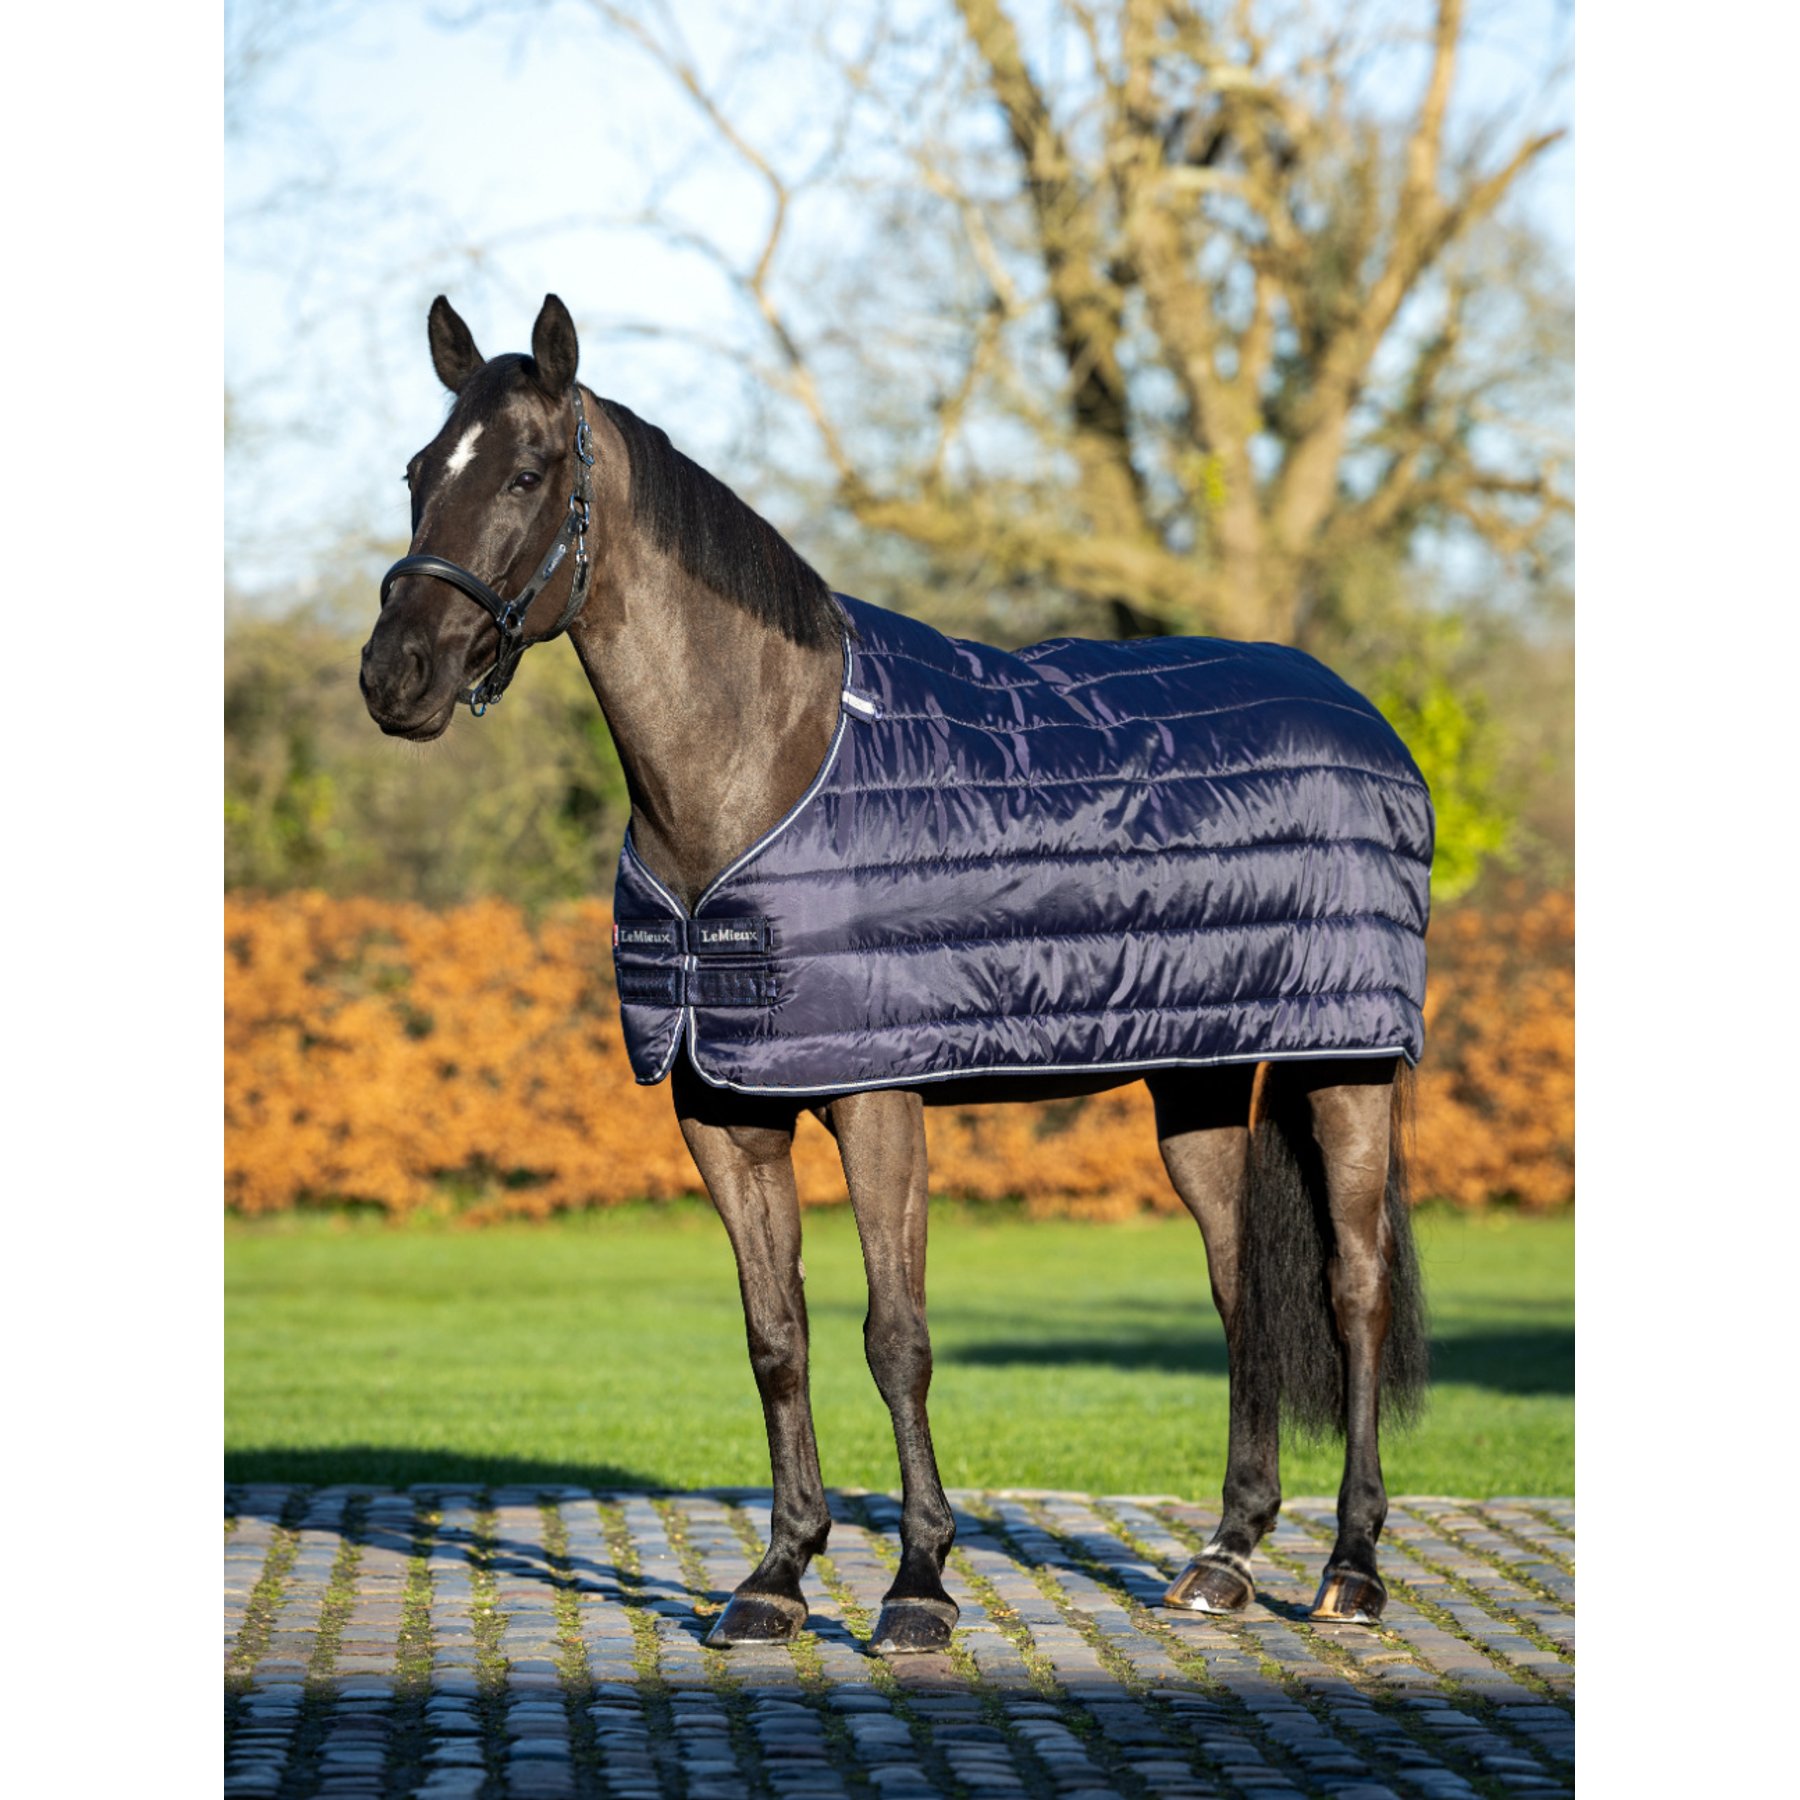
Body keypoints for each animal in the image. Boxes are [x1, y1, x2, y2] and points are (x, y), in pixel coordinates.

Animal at [361, 293, 1431, 1655]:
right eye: (415, 472)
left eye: (527, 472)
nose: (393, 675)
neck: (763, 764)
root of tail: (1360, 712)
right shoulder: (722, 1109)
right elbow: (777, 1335)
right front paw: (776, 1577)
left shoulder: (879, 1099)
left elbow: (896, 1336)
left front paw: (918, 1584)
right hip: (1193, 1081)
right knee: (1240, 1286)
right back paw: (1225, 1559)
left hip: (1348, 1063)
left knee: (1354, 1294)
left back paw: (1352, 1568)